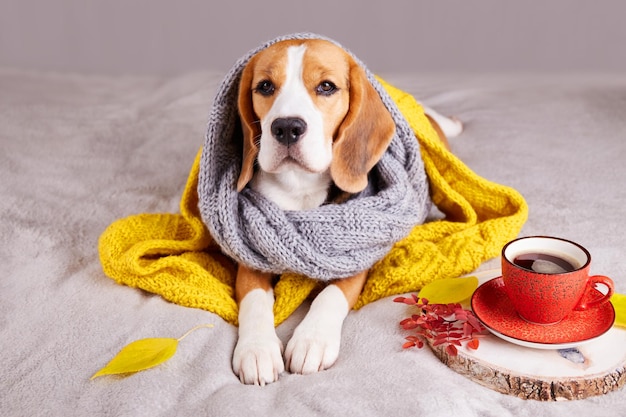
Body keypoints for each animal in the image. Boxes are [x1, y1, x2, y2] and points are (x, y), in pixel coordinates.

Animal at [232, 38, 460, 384]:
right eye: (265, 86)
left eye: (326, 86)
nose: (286, 127)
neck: (301, 187)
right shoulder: (252, 252)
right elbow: (254, 299)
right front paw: (256, 349)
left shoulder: (355, 253)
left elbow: (331, 295)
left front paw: (311, 340)